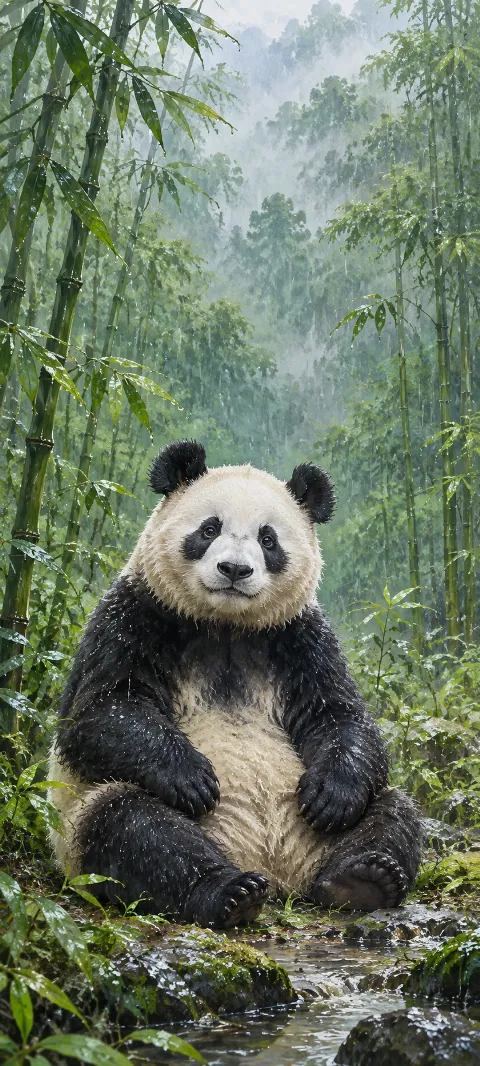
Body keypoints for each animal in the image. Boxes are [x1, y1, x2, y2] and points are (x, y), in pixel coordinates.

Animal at [49, 439, 422, 927]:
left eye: (268, 539)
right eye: (209, 529)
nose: (234, 570)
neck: (226, 625)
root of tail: (278, 872)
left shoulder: (300, 638)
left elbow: (337, 714)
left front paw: (331, 796)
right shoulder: (135, 614)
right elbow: (100, 711)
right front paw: (191, 777)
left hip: (321, 834)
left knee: (393, 809)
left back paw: (363, 877)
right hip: (81, 827)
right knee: (132, 824)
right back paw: (228, 891)